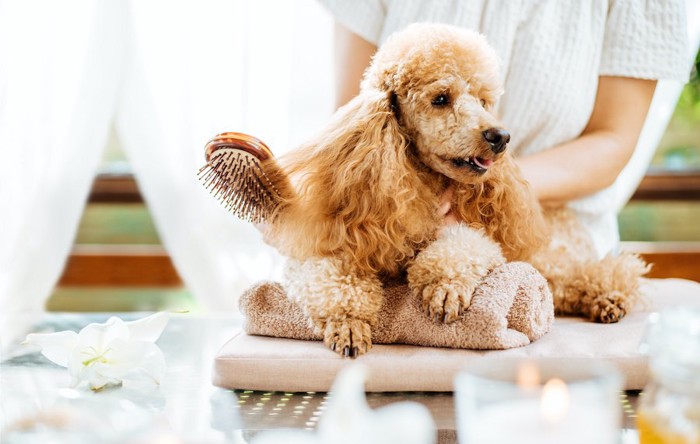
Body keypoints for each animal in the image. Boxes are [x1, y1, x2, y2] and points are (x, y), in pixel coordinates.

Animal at [266, 23, 648, 358]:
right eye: (440, 98)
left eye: (483, 100)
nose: (500, 136)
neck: (413, 181)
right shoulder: (339, 241)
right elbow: (332, 278)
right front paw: (348, 322)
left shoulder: (475, 232)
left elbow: (463, 247)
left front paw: (445, 287)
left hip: (548, 257)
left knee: (598, 272)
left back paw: (610, 297)